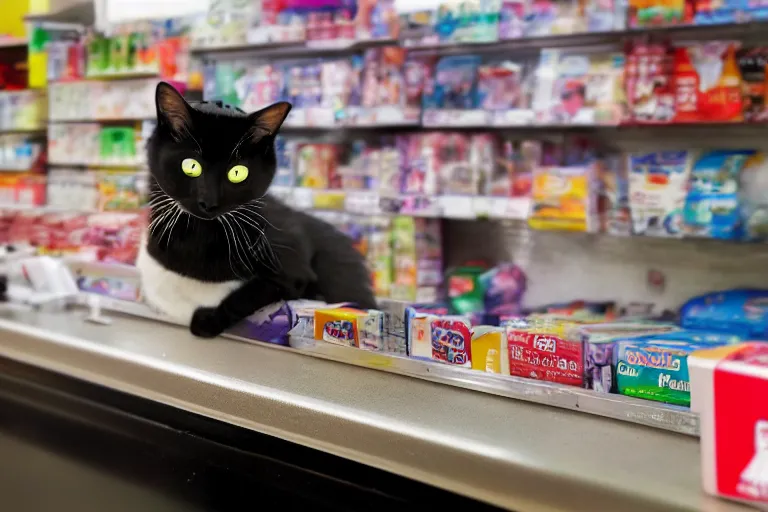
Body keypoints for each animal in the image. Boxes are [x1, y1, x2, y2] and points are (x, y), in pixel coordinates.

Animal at [140, 82, 380, 338]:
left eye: (237, 173)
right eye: (191, 166)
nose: (209, 202)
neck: (200, 235)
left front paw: (207, 320)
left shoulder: (294, 268)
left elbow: (249, 294)